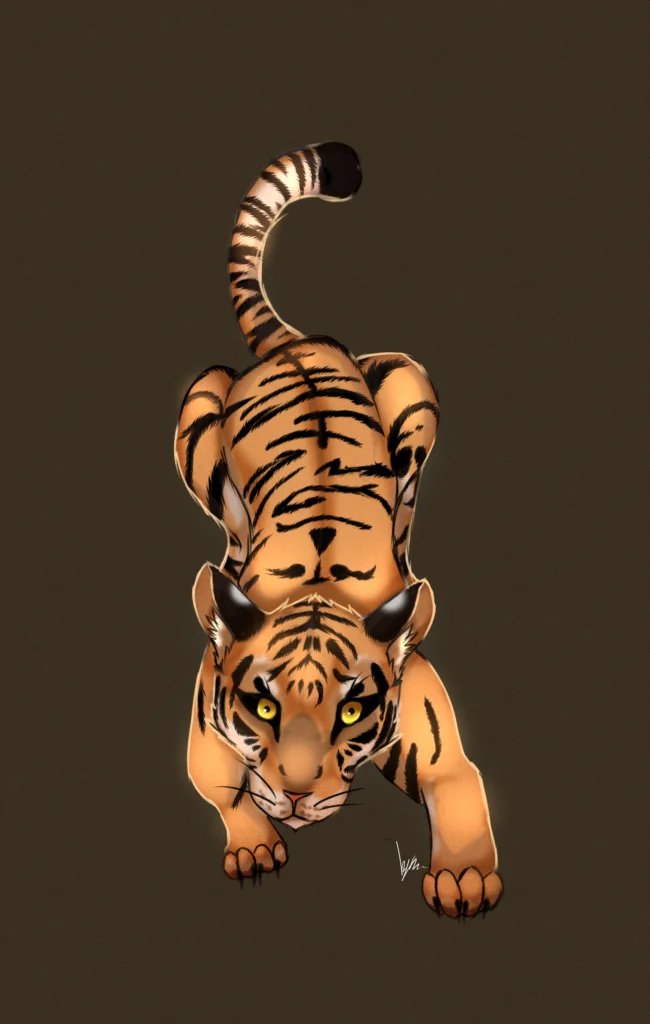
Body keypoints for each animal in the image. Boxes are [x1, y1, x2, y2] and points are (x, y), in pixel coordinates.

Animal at [174, 142, 503, 918]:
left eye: (353, 712)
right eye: (264, 705)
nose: (296, 796)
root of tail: (296, 346)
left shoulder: (438, 743)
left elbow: (463, 788)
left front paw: (466, 877)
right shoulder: (203, 727)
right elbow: (223, 785)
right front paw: (255, 844)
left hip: (413, 387)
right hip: (196, 405)